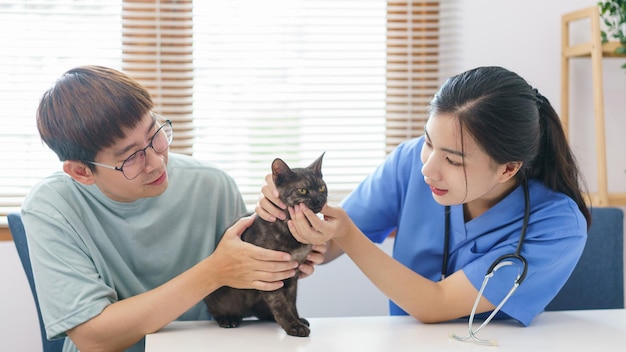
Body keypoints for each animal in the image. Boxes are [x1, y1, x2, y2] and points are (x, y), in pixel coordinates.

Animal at [205, 153, 326, 336]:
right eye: (303, 190)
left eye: (321, 188)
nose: (319, 199)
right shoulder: (268, 273)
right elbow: (280, 304)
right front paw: (294, 326)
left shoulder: (293, 274)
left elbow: (291, 302)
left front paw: (297, 320)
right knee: (218, 310)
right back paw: (228, 319)